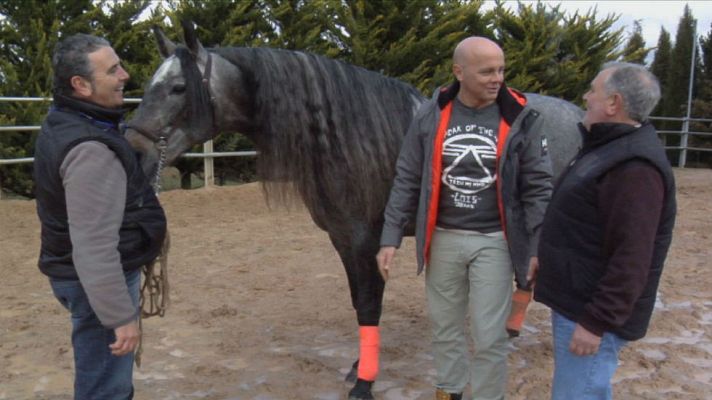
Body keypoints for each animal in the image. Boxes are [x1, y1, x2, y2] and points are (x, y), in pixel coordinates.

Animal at [124, 21, 583, 399]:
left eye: (178, 88)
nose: (136, 152)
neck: (346, 137)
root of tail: (577, 115)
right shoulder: (342, 238)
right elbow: (358, 301)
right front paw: (358, 367)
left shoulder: (367, 240)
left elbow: (369, 304)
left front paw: (364, 383)